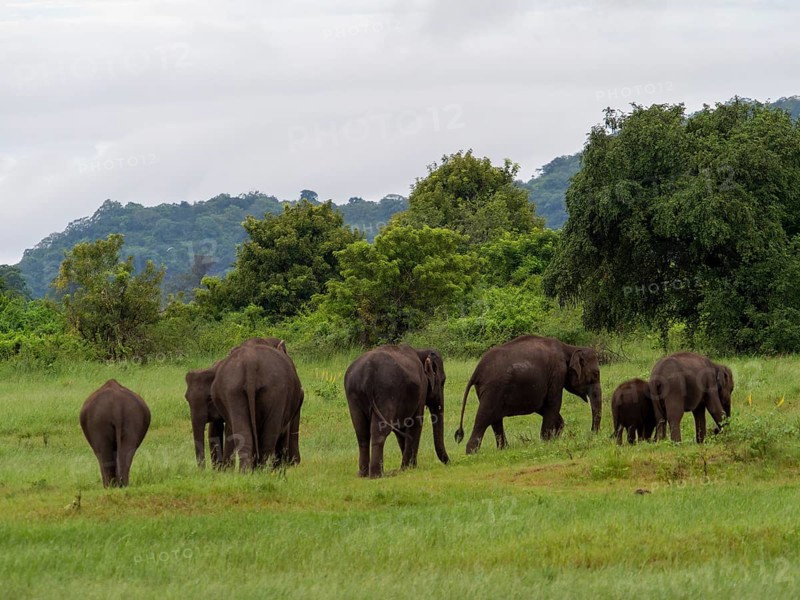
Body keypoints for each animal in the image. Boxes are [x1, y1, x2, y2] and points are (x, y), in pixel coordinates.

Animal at [184, 337, 287, 468]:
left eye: (210, 398)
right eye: (186, 398)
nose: (202, 470)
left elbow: (228, 432)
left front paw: (225, 469)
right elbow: (215, 431)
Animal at [210, 342, 303, 470]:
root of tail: (251, 364)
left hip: (232, 391)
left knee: (246, 436)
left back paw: (249, 471)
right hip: (275, 393)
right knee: (268, 439)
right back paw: (263, 470)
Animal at [344, 345, 449, 478]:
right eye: (443, 381)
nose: (449, 462)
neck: (420, 351)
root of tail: (367, 373)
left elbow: (401, 429)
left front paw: (406, 467)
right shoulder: (421, 389)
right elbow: (416, 423)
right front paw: (409, 468)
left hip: (353, 396)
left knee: (362, 433)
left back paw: (363, 475)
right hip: (386, 392)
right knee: (380, 432)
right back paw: (377, 475)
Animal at [455, 335, 602, 454]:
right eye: (596, 374)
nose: (592, 434)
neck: (569, 348)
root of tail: (476, 371)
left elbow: (542, 406)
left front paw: (554, 438)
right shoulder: (557, 373)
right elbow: (553, 404)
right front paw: (546, 442)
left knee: (495, 419)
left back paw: (503, 449)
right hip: (493, 388)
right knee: (484, 417)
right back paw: (472, 452)